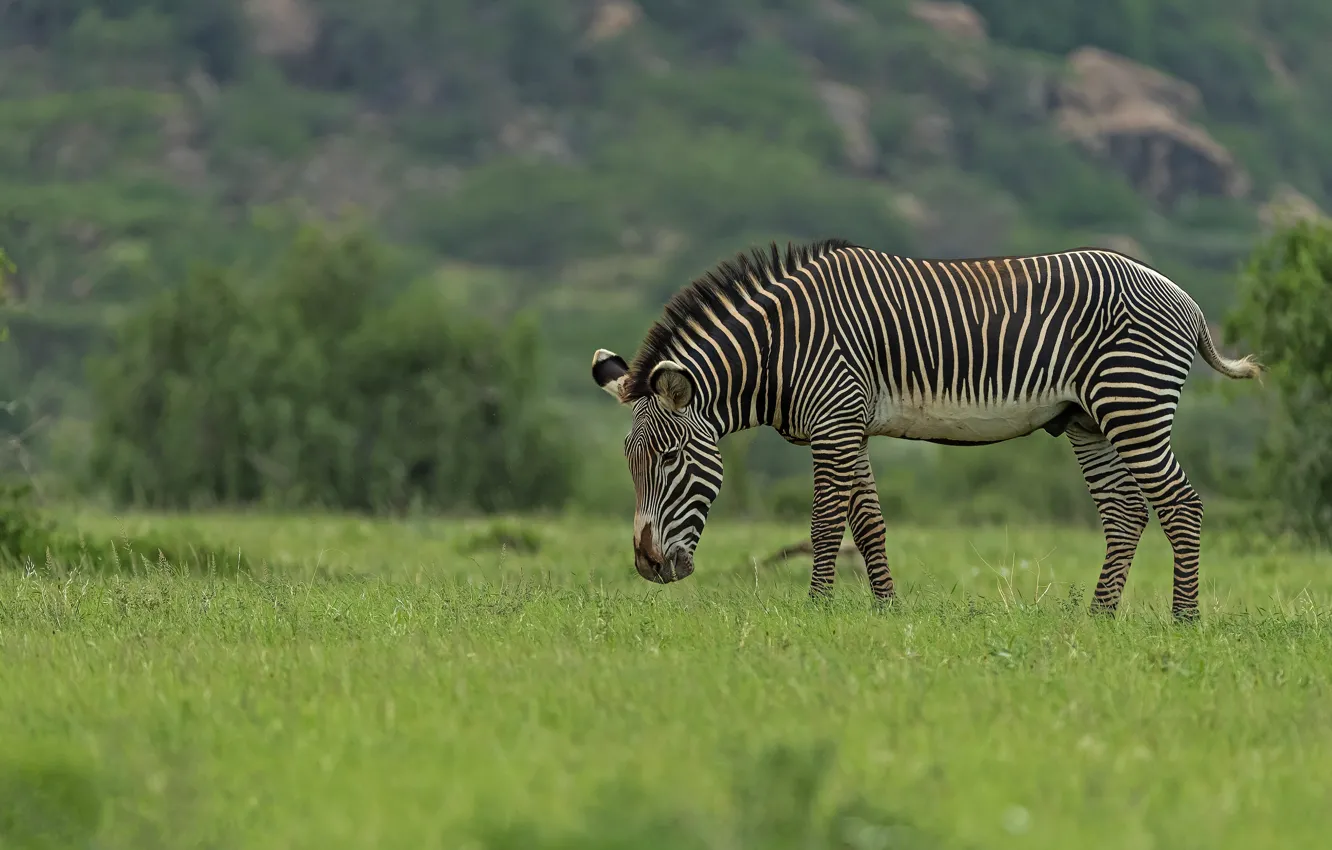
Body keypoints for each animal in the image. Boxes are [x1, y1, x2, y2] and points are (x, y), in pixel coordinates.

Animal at [590, 238, 1262, 620]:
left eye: (671, 458)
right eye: (628, 461)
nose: (648, 566)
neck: (779, 348)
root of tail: (1181, 295)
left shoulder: (834, 422)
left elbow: (825, 523)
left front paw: (816, 609)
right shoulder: (851, 427)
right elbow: (868, 524)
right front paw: (886, 610)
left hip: (1134, 404)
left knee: (1181, 505)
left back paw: (1184, 620)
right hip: (1089, 421)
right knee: (1125, 513)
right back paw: (1098, 618)